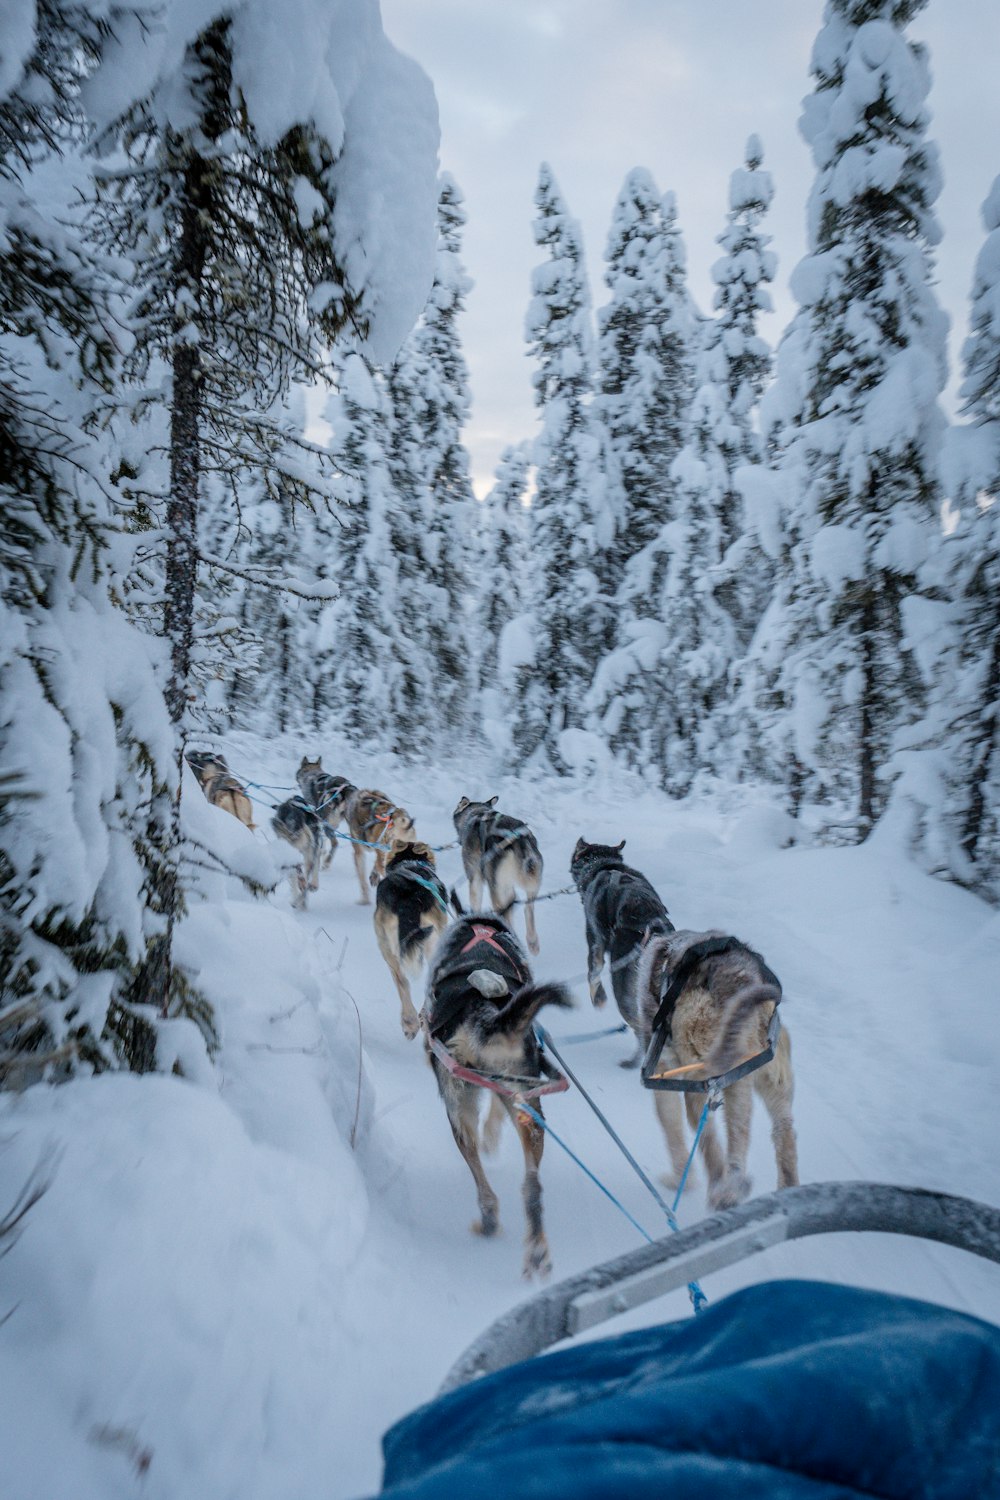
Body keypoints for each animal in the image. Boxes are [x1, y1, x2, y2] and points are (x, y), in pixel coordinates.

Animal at [373, 840, 452, 1038]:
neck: (410, 862)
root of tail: (411, 897)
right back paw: (422, 1018)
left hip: (388, 946)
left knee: (403, 981)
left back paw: (410, 1022)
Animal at [422, 912, 569, 1278]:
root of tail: (482, 1008)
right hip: (528, 1106)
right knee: (532, 1186)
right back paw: (536, 1249)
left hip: (459, 1109)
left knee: (481, 1179)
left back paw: (488, 1221)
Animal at [452, 792, 542, 954]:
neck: (476, 813)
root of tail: (518, 840)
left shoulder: (475, 878)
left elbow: (475, 902)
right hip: (531, 880)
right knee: (527, 907)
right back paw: (532, 941)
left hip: (495, 886)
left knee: (506, 910)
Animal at [566, 834, 677, 1068]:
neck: (603, 865)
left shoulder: (595, 941)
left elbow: (593, 974)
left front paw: (598, 998)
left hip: (624, 992)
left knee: (640, 1029)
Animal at [641, 930, 797, 1212]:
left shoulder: (663, 1074)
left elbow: (671, 1128)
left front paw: (679, 1179)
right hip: (770, 1081)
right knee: (778, 1131)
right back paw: (783, 1189)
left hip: (705, 1078)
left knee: (712, 1138)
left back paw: (724, 1189)